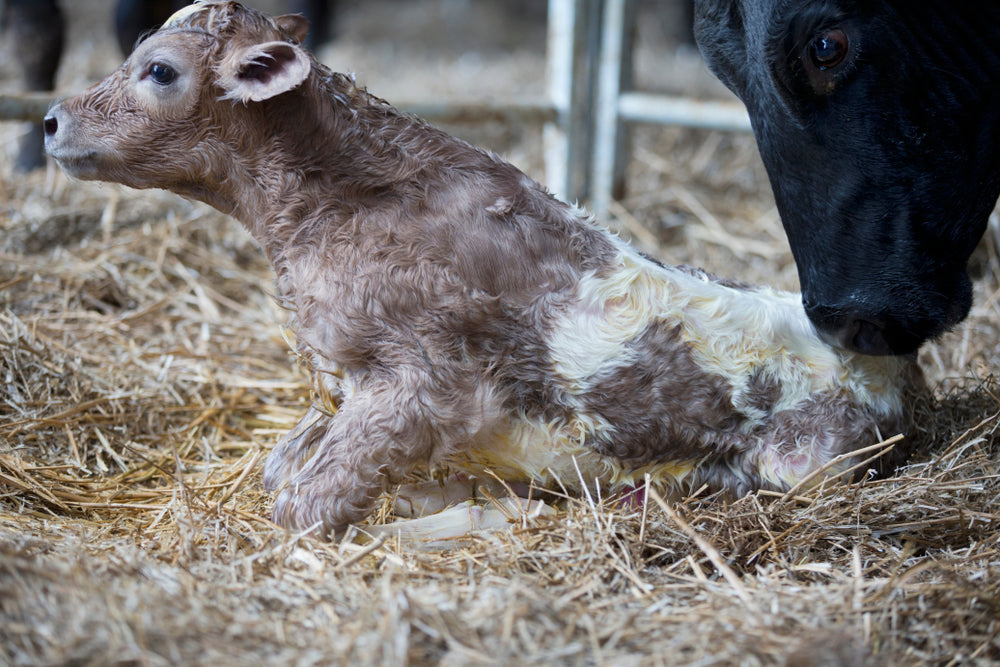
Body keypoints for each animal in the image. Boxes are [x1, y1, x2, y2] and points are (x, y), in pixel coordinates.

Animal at [42, 1, 925, 538]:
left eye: (159, 70)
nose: (49, 119)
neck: (337, 204)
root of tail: (898, 367)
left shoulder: (424, 381)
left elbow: (309, 496)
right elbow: (288, 463)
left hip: (802, 462)